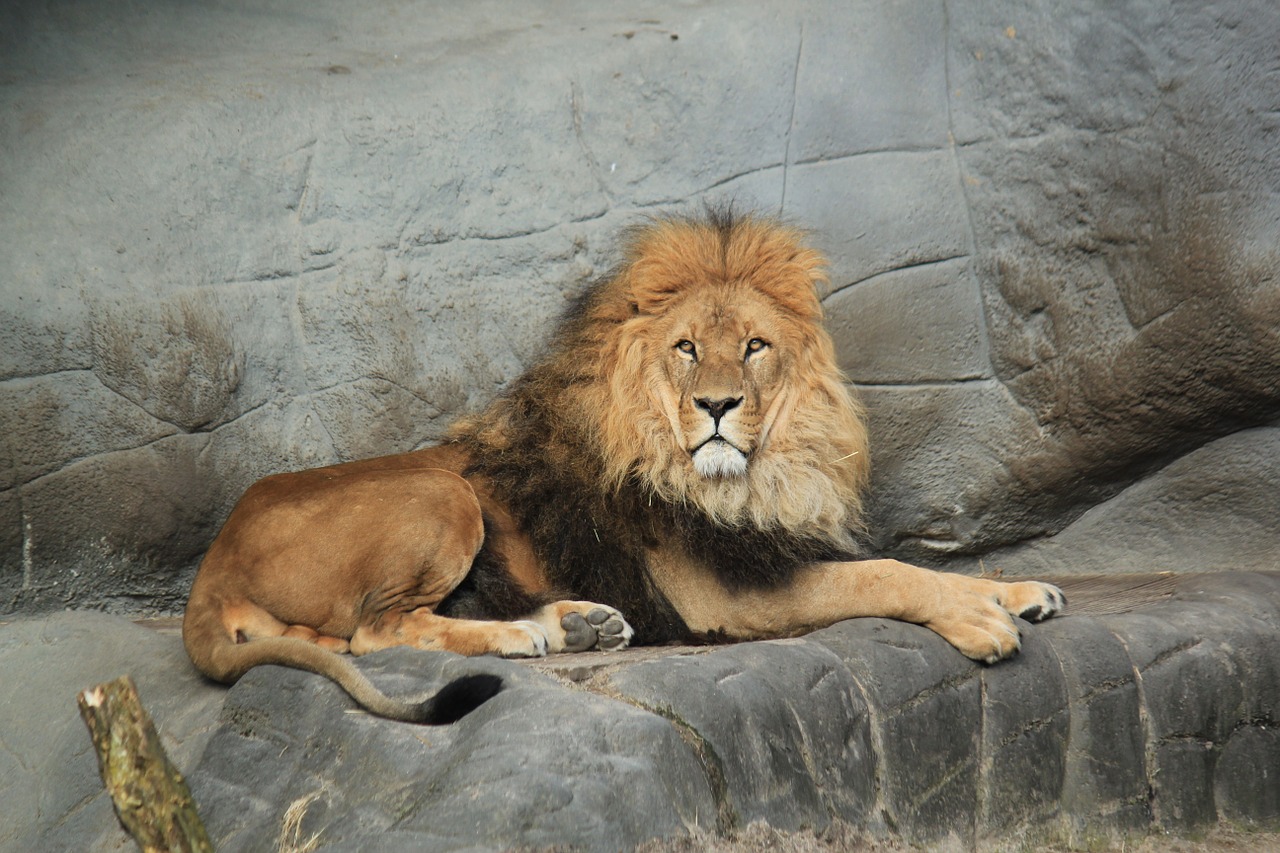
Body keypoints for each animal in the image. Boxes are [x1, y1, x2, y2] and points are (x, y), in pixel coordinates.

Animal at [183, 209, 1065, 723]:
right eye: (686, 348)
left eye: (754, 345)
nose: (718, 405)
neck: (759, 478)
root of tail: (211, 564)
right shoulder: (726, 592)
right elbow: (885, 572)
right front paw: (981, 620)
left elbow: (922, 565)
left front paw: (1018, 588)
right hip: (441, 491)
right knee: (375, 630)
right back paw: (525, 634)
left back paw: (576, 621)